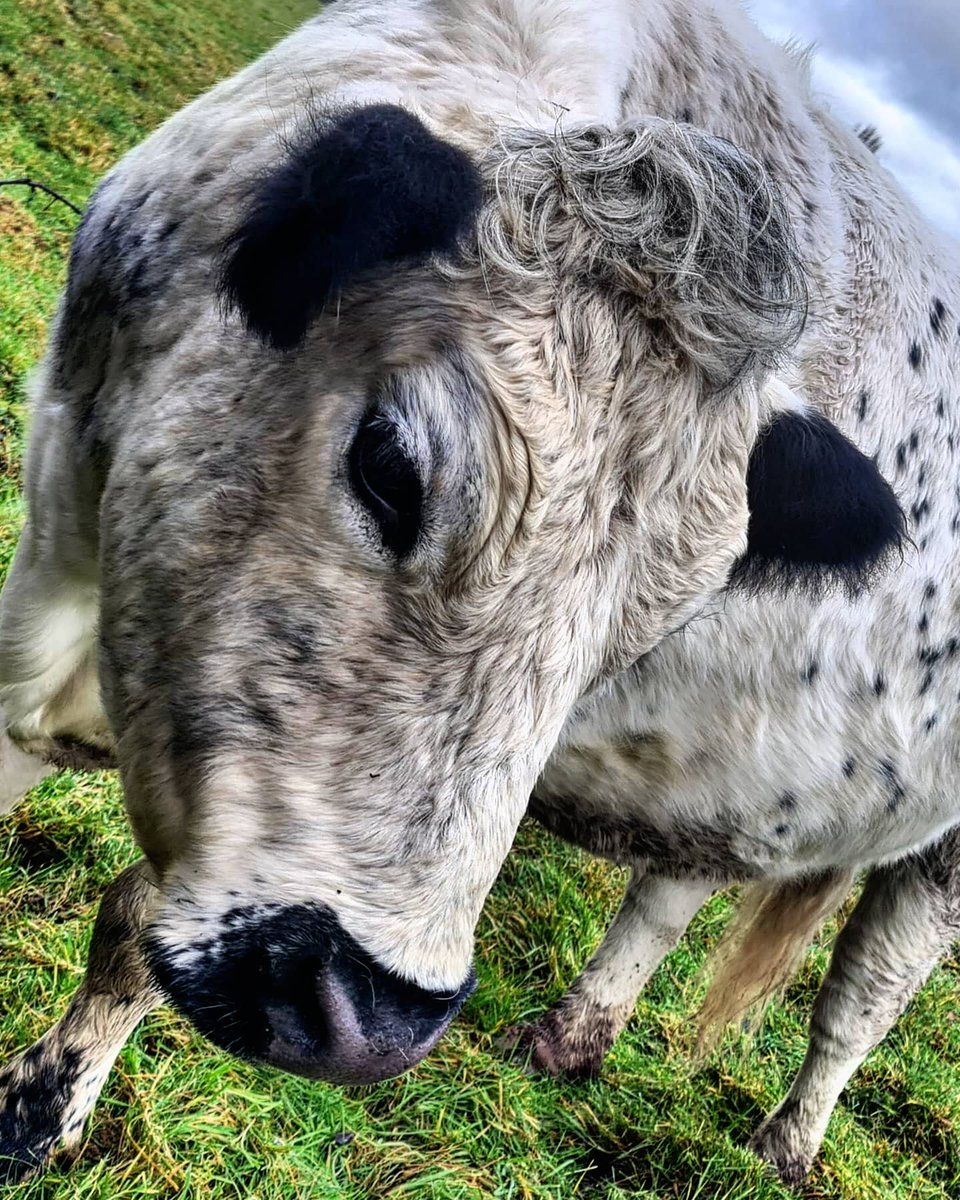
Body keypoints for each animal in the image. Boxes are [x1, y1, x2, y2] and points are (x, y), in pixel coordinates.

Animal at [0, 0, 950, 1185]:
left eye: (650, 627)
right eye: (389, 466)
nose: (372, 1021)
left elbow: (131, 922)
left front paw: (41, 1115)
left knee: (862, 1000)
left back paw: (784, 1146)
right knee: (674, 889)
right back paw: (571, 1039)